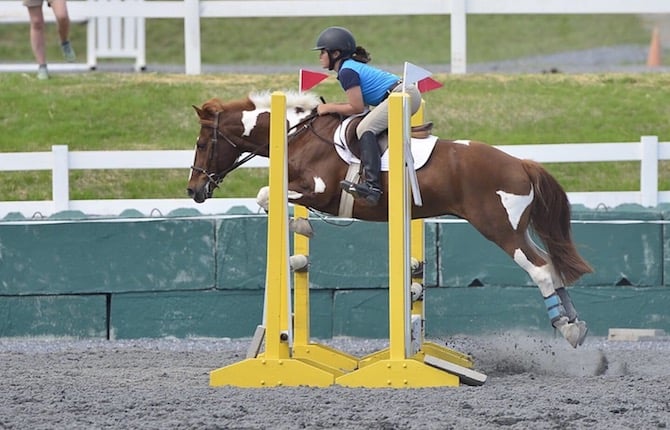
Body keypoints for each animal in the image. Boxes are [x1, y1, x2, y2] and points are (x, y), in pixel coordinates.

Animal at [188, 91, 592, 350]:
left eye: (202, 144)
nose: (194, 190)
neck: (297, 136)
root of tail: (521, 163)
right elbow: (270, 200)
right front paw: (303, 227)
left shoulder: (318, 191)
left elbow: (264, 196)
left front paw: (302, 226)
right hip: (516, 227)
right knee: (552, 265)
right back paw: (577, 324)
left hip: (501, 229)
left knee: (541, 269)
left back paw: (566, 328)